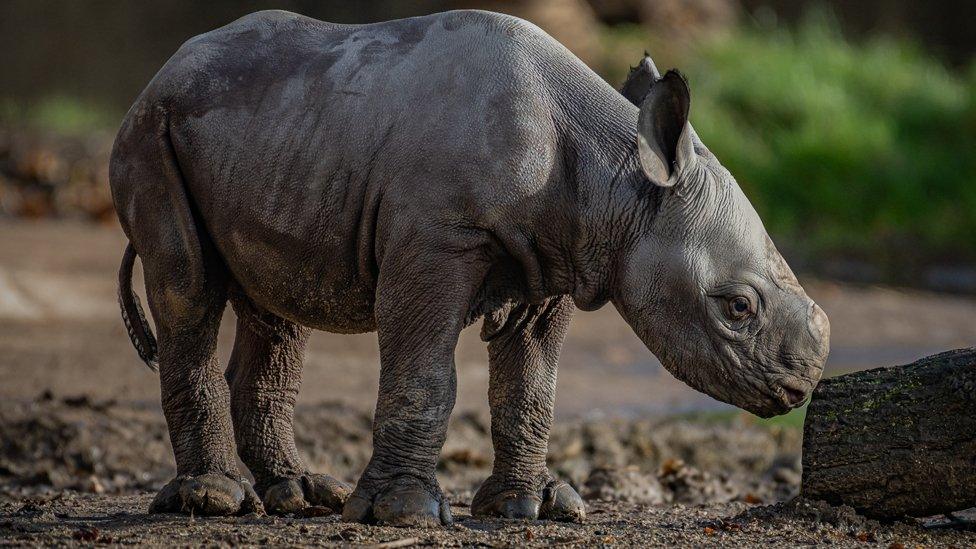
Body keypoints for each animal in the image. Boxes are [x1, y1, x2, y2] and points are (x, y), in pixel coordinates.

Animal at [112, 9, 832, 528]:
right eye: (737, 307)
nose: (800, 383)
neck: (616, 180)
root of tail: (159, 73)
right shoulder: (437, 238)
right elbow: (426, 374)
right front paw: (403, 514)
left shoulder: (558, 256)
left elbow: (530, 386)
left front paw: (533, 507)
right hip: (154, 132)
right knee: (188, 290)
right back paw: (215, 500)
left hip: (275, 137)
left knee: (278, 306)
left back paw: (299, 495)